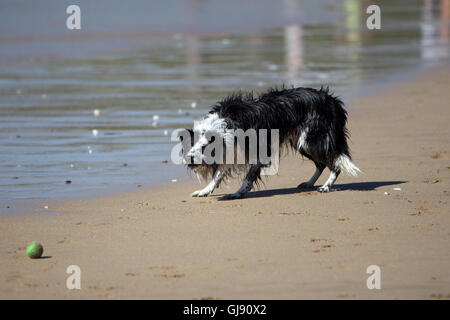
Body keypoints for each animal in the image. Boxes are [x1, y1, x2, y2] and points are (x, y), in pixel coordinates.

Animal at [178, 86, 358, 199]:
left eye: (205, 148)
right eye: (189, 147)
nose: (190, 161)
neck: (222, 125)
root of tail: (332, 101)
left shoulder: (260, 150)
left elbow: (248, 177)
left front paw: (237, 194)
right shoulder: (232, 151)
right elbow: (218, 175)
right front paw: (205, 191)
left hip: (312, 140)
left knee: (335, 163)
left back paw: (326, 187)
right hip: (301, 143)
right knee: (321, 164)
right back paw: (309, 183)